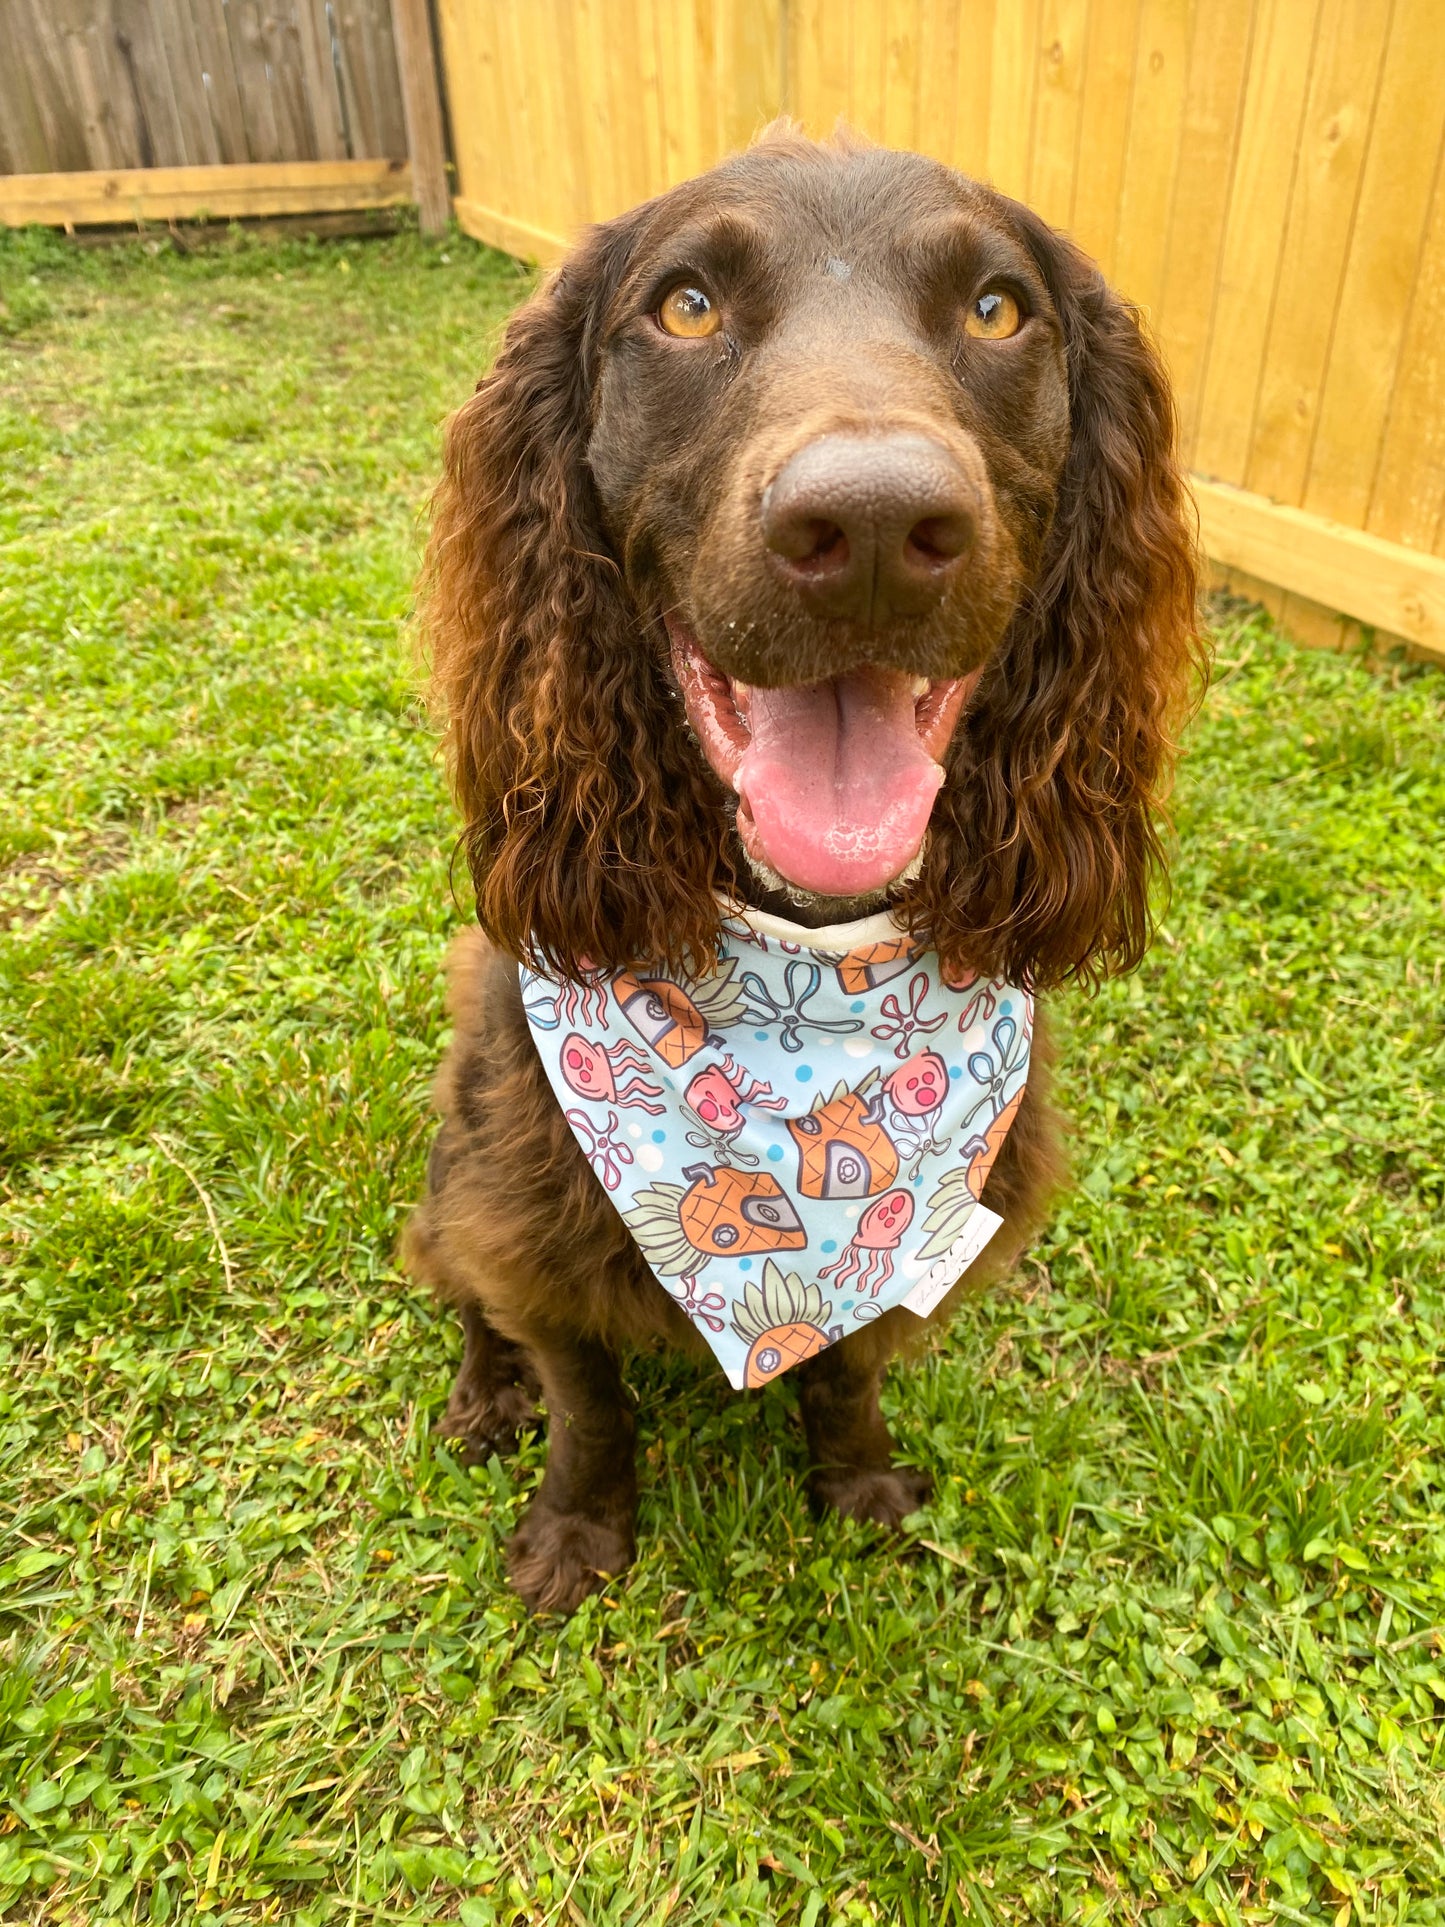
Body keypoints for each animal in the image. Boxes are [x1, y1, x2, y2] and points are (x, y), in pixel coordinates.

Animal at [402, 128, 1202, 1618]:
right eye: (685, 306)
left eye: (996, 309)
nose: (876, 527)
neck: (806, 978)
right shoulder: (531, 1217)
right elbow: (583, 1389)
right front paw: (577, 1528)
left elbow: (845, 1363)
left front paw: (856, 1477)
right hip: (454, 1169)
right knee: (462, 1284)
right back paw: (485, 1395)